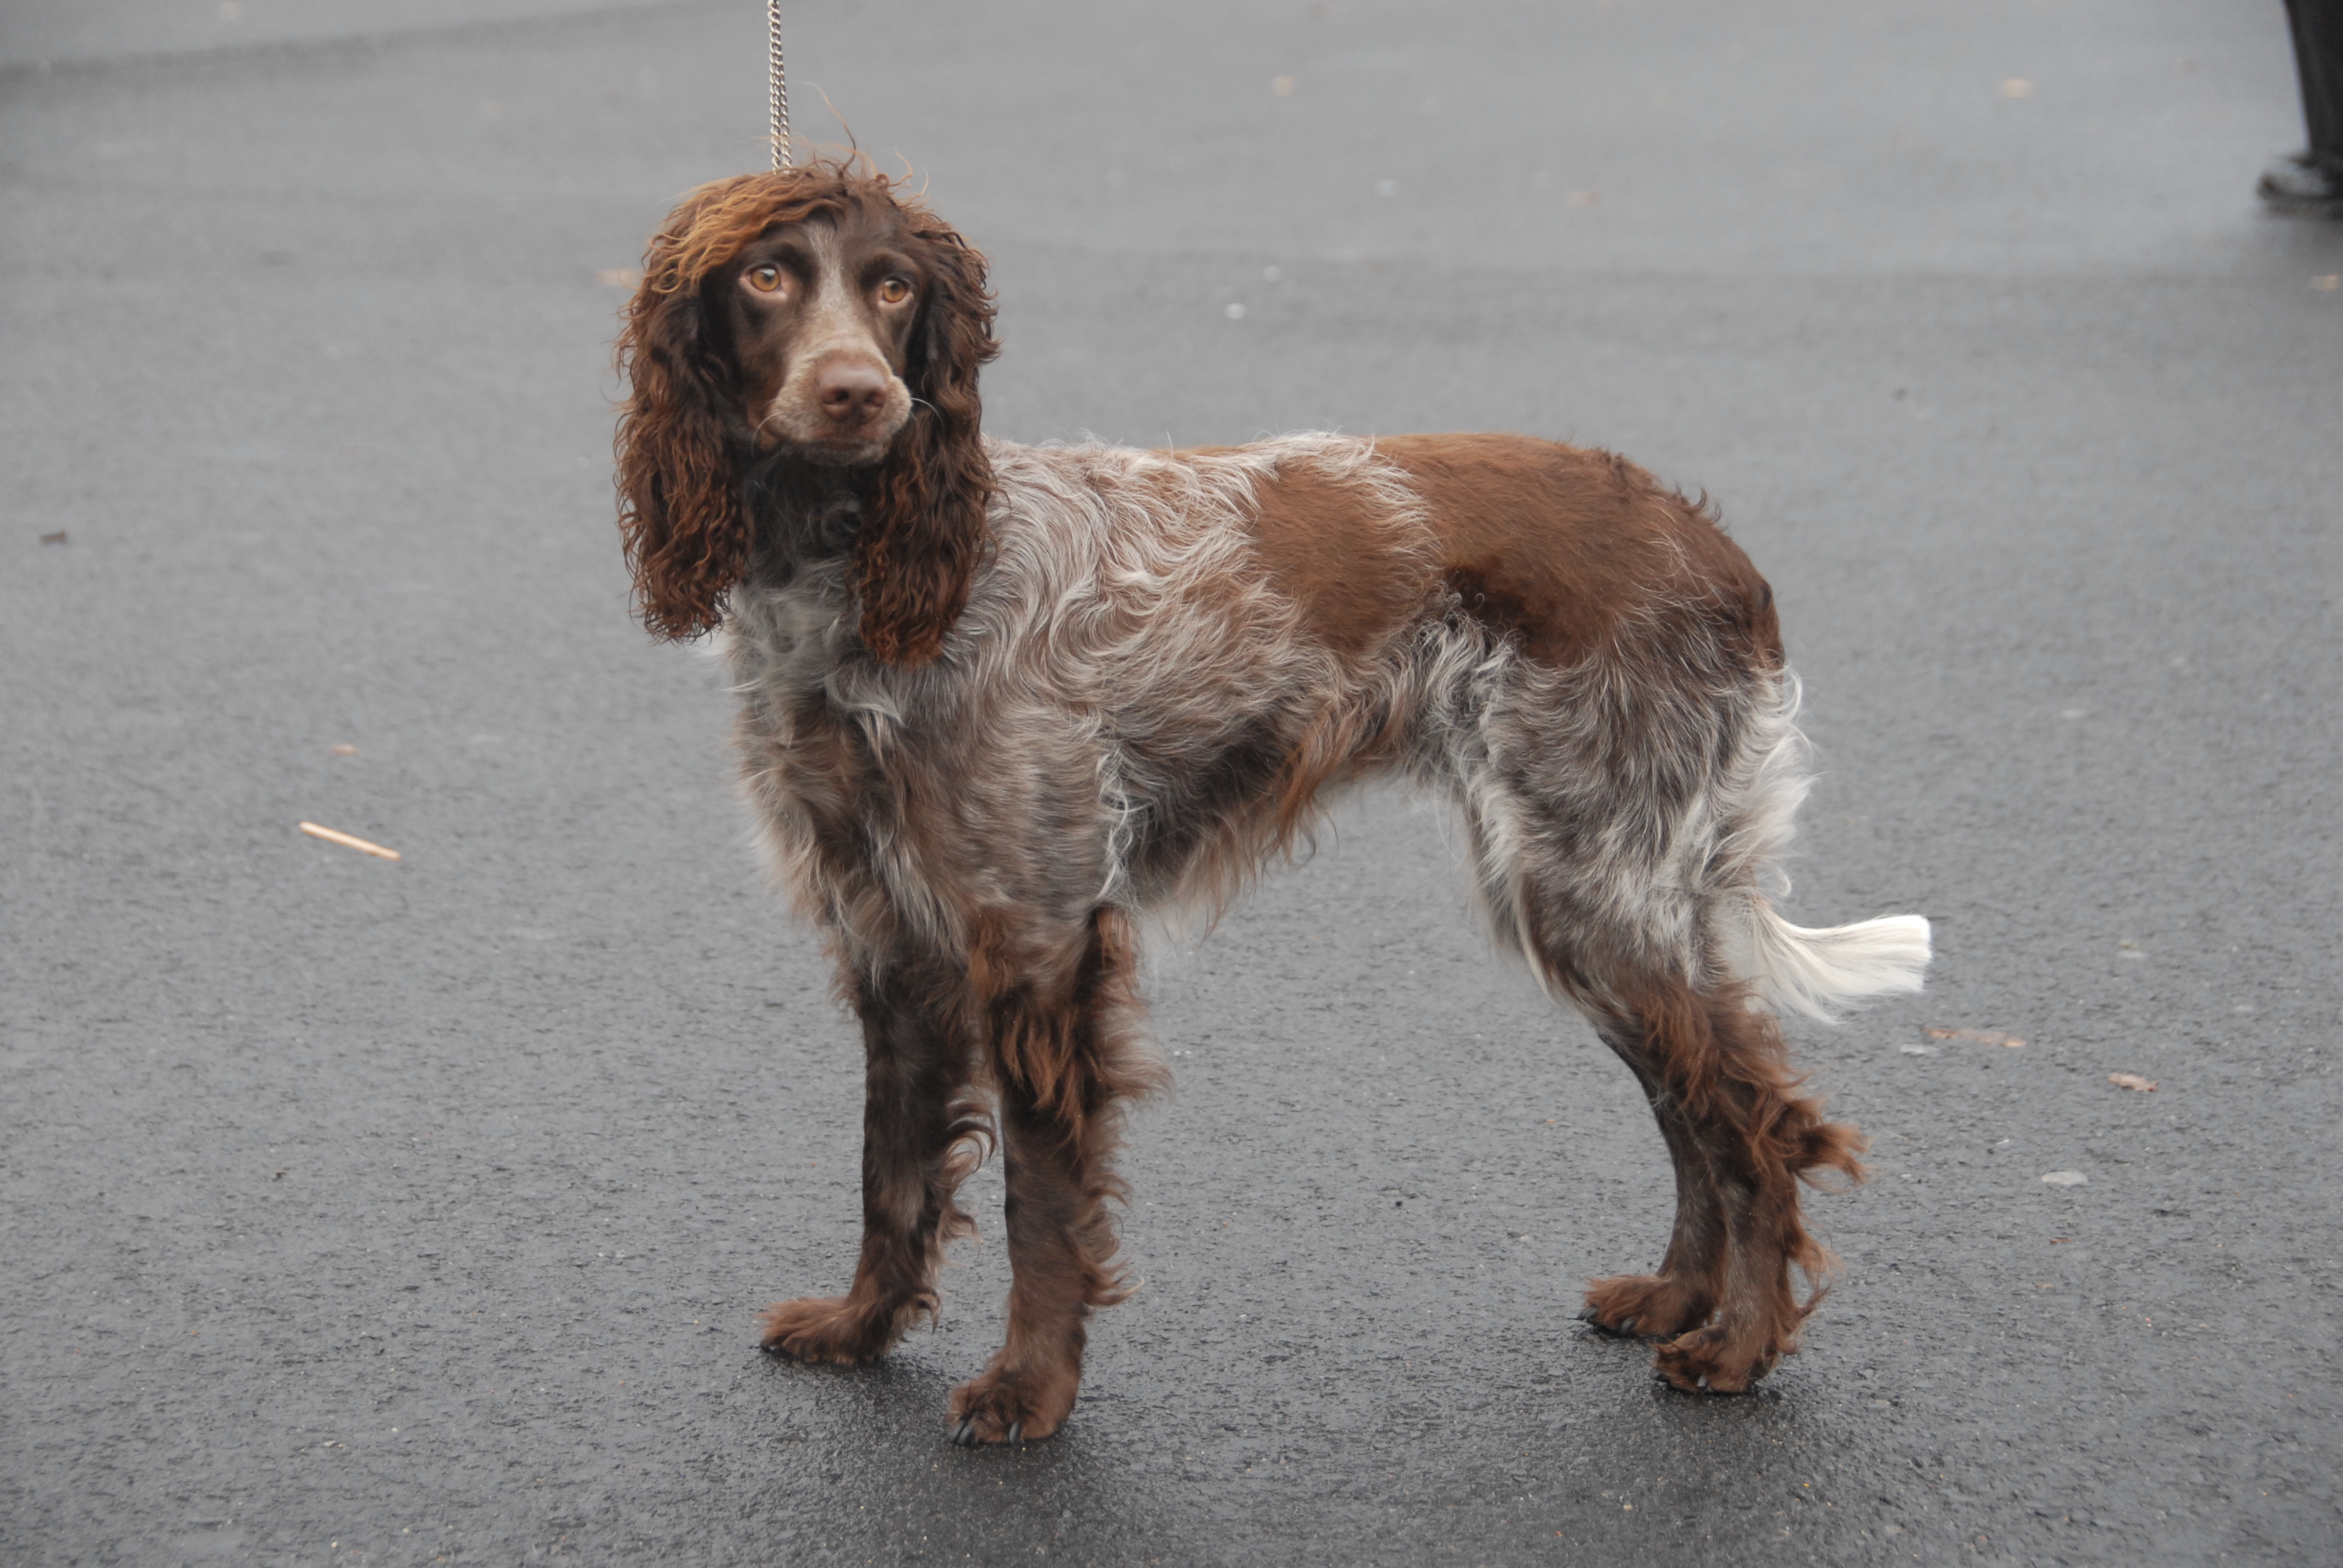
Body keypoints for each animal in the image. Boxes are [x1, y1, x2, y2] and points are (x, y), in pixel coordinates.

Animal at [618, 159, 1921, 1443]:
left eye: (891, 288)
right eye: (769, 276)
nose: (857, 395)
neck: (868, 580)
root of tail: (1711, 549)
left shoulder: (1036, 935)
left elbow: (1041, 1197)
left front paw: (1029, 1389)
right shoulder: (885, 932)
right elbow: (889, 1172)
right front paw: (861, 1327)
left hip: (1597, 889)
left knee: (1755, 1125)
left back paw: (1738, 1346)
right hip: (1588, 905)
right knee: (1693, 1110)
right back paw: (1675, 1298)